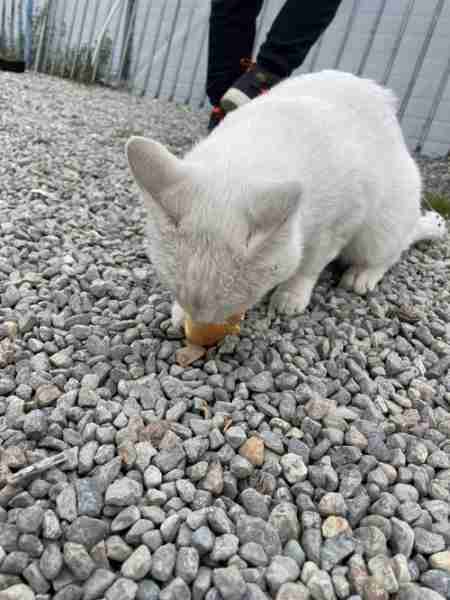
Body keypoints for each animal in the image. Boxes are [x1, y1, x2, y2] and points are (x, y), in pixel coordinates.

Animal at [125, 70, 446, 328]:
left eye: (238, 303)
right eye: (176, 290)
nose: (200, 326)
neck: (244, 157)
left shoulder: (341, 222)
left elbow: (310, 264)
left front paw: (292, 294)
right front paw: (180, 314)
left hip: (383, 224)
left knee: (392, 251)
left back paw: (362, 275)